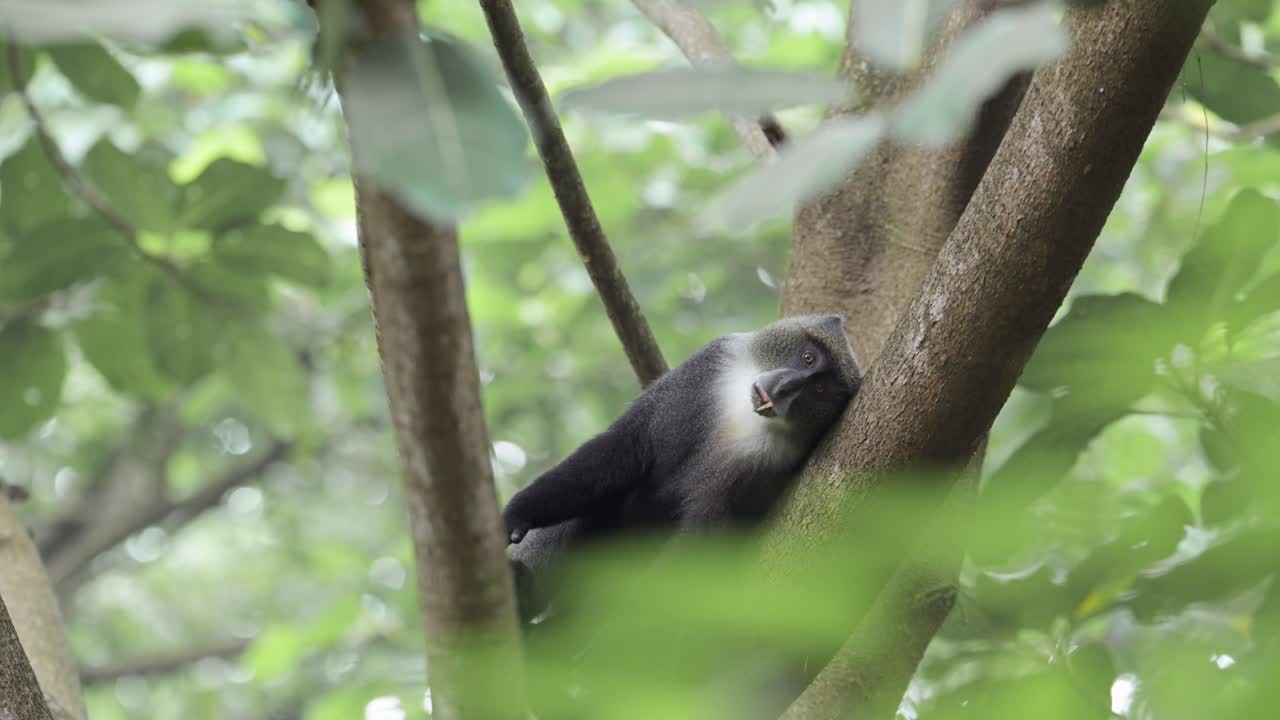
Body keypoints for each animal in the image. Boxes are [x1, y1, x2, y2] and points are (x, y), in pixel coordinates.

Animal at [503, 314, 861, 622]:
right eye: (808, 358)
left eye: (818, 390)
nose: (787, 386)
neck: (742, 418)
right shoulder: (702, 371)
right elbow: (624, 447)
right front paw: (515, 514)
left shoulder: (758, 473)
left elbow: (701, 541)